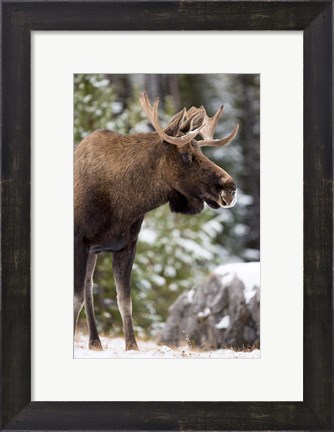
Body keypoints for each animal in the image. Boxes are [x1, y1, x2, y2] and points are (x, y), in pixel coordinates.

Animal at [74, 92, 239, 352]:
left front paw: (132, 347)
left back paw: (95, 341)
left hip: (94, 251)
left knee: (90, 287)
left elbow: (124, 301)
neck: (123, 204)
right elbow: (76, 297)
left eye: (202, 152)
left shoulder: (125, 246)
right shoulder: (79, 240)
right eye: (186, 155)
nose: (230, 188)